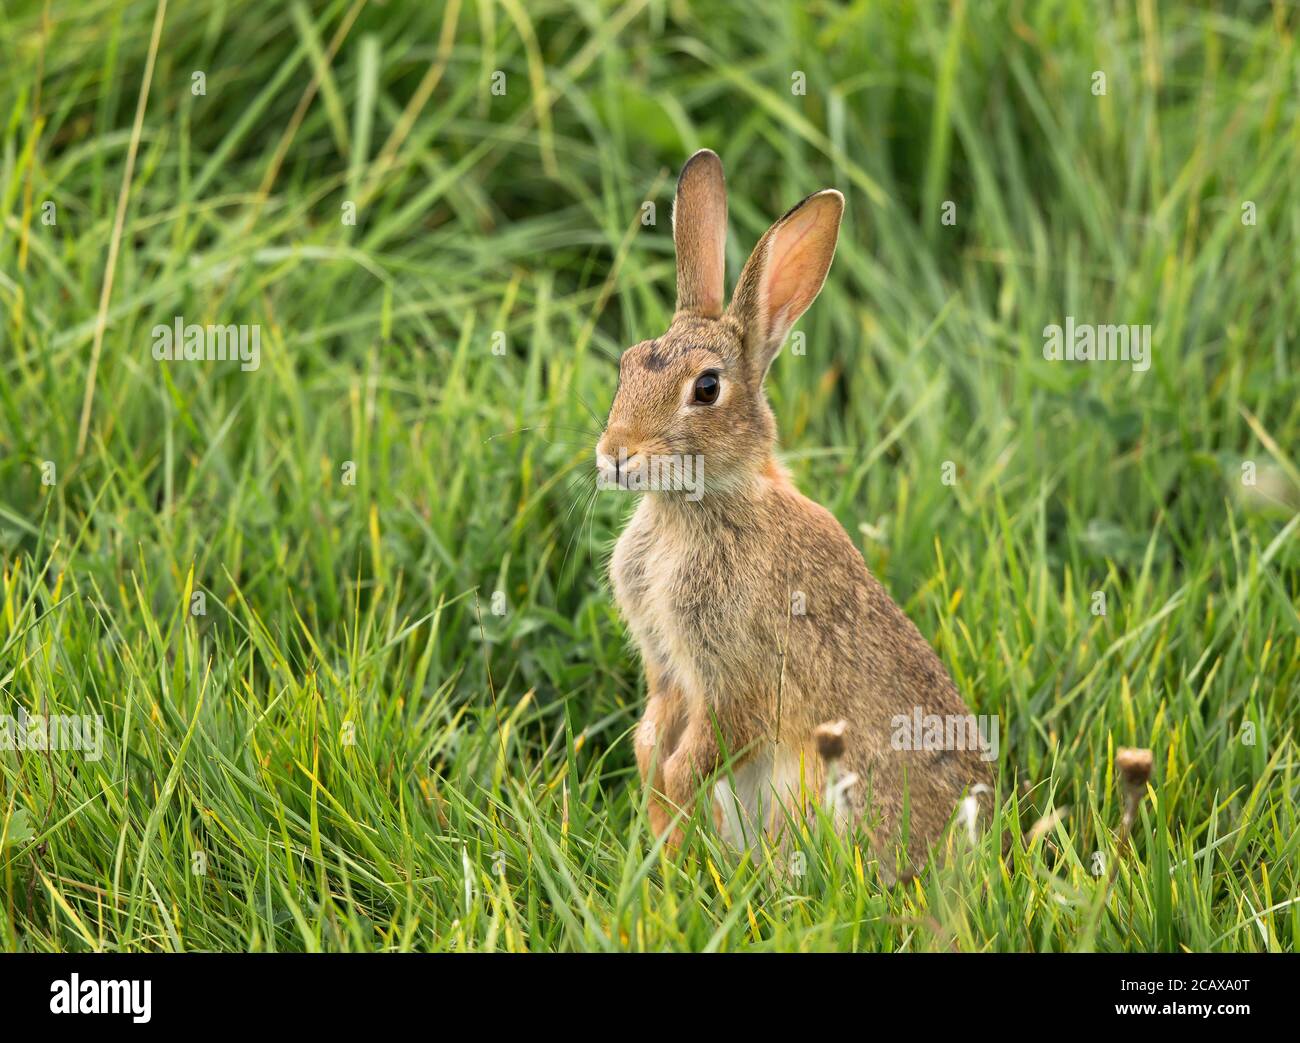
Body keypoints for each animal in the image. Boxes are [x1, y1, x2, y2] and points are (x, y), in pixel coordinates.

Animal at [598, 148, 993, 879]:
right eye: (627, 363)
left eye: (706, 388)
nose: (615, 455)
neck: (699, 508)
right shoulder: (669, 670)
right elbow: (650, 744)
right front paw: (660, 845)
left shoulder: (739, 679)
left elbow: (687, 762)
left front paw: (665, 859)